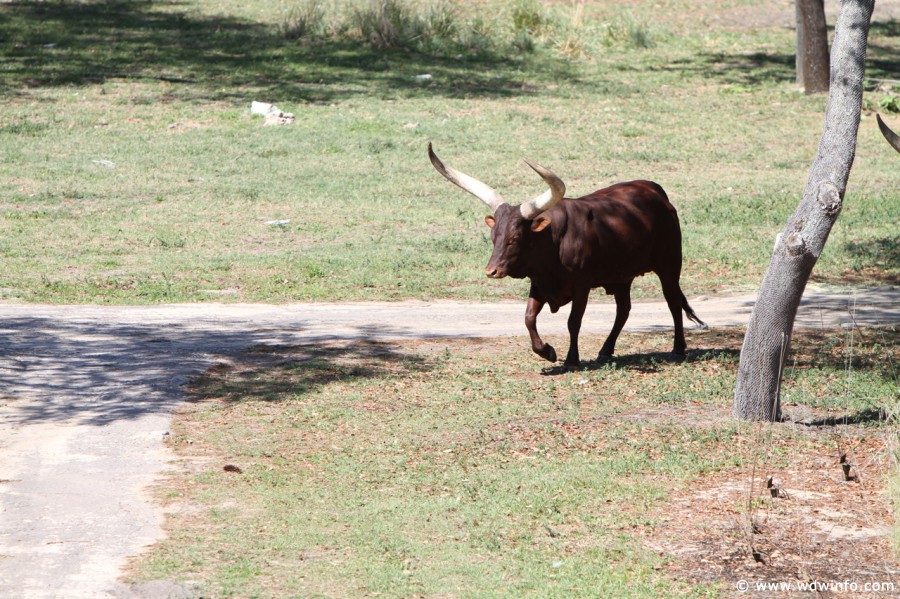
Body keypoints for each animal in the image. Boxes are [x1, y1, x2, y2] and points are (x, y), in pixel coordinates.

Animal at [426, 145, 708, 370]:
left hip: (669, 264)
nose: (491, 270)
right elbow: (528, 318)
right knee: (624, 310)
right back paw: (606, 350)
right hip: (621, 276)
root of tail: (656, 191)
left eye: (515, 238)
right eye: (494, 236)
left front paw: (572, 359)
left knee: (672, 301)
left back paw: (678, 349)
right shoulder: (539, 283)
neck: (552, 241)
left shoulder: (581, 286)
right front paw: (547, 352)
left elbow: (574, 322)